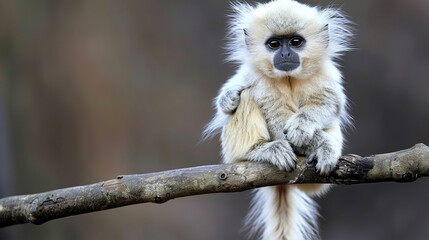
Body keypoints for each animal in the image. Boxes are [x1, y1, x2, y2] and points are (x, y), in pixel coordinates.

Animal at [204, 0, 352, 240]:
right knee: (246, 96)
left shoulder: (326, 75)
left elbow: (329, 104)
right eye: (274, 44)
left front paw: (313, 137)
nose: (285, 53)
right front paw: (316, 145)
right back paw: (260, 150)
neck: (288, 78)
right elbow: (274, 116)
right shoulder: (260, 79)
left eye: (295, 42)